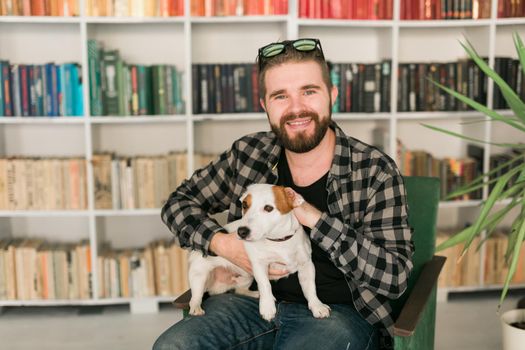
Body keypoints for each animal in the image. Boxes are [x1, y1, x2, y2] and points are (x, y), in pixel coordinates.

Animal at [186, 185, 330, 322]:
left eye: (268, 208)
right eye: (244, 205)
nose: (241, 232)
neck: (278, 241)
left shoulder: (306, 265)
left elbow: (310, 288)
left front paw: (317, 306)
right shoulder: (259, 265)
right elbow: (265, 284)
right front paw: (267, 307)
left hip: (246, 277)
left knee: (240, 290)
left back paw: (254, 294)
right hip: (199, 276)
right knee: (194, 298)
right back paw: (196, 308)